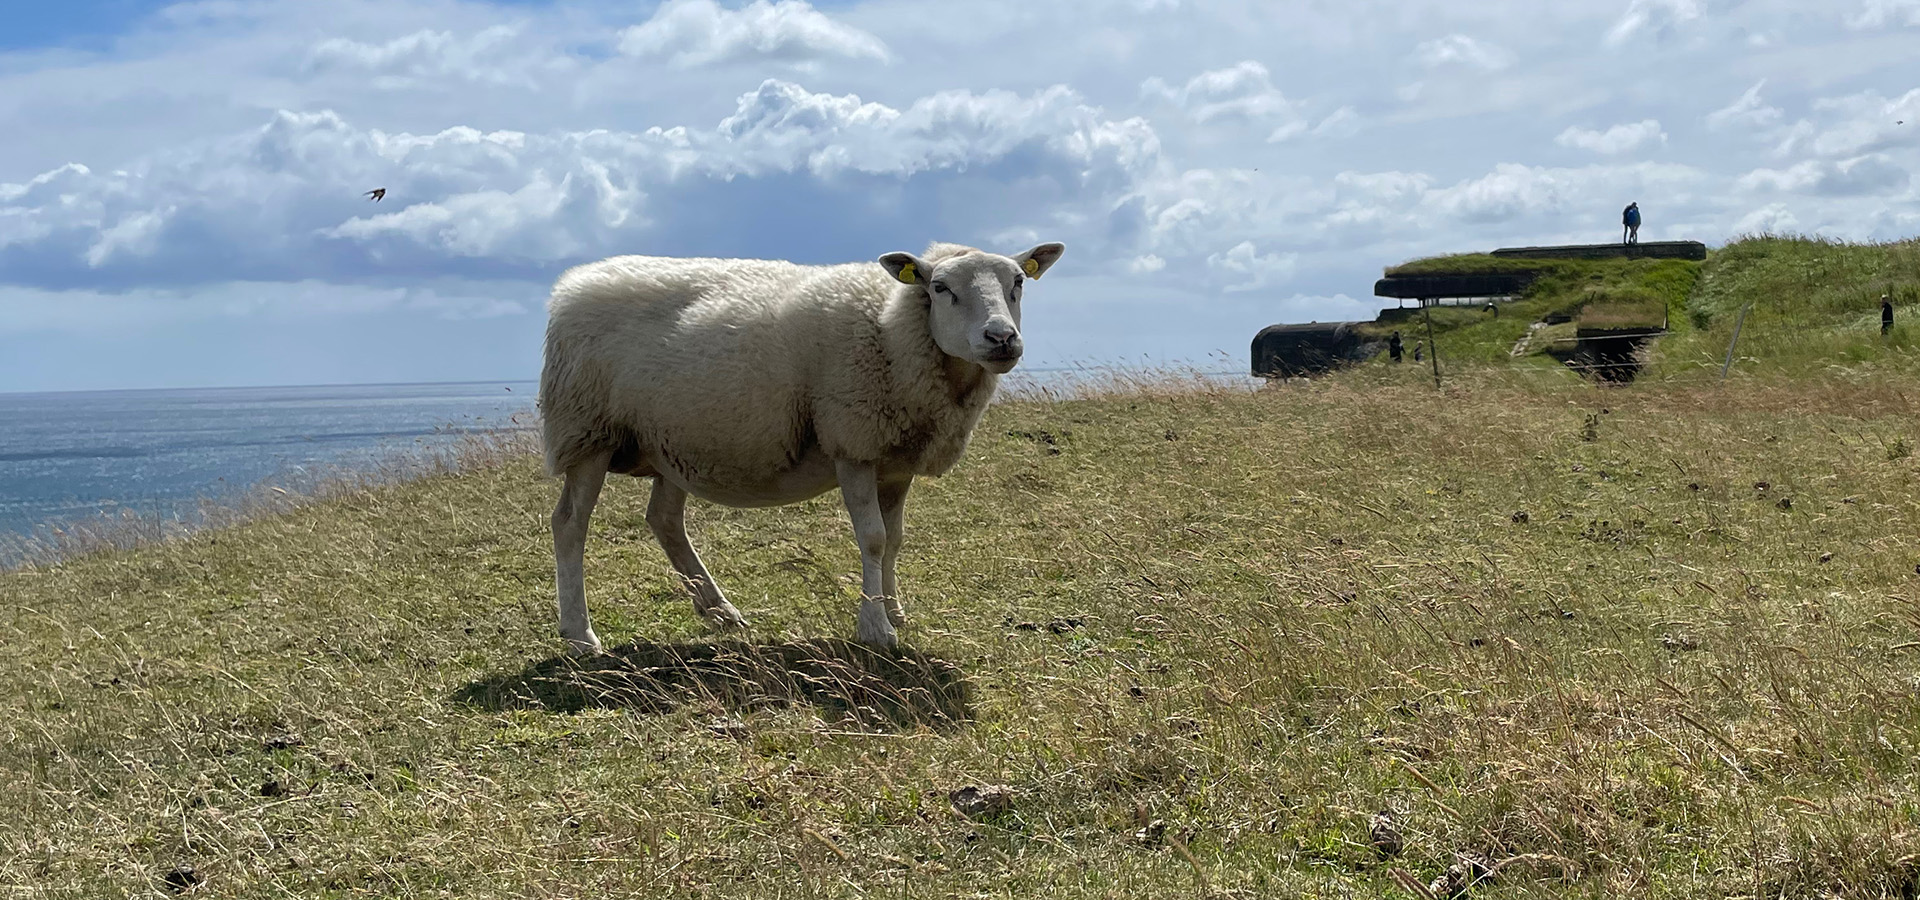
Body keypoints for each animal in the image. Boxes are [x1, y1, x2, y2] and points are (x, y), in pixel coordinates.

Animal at [537, 239, 1067, 652]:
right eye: (940, 288)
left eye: (1019, 282)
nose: (1001, 338)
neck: (890, 330)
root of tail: (573, 285)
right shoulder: (852, 442)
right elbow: (872, 538)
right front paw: (875, 628)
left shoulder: (896, 460)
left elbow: (895, 539)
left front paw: (894, 611)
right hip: (587, 430)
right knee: (569, 525)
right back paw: (580, 634)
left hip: (672, 441)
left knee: (664, 520)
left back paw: (720, 610)